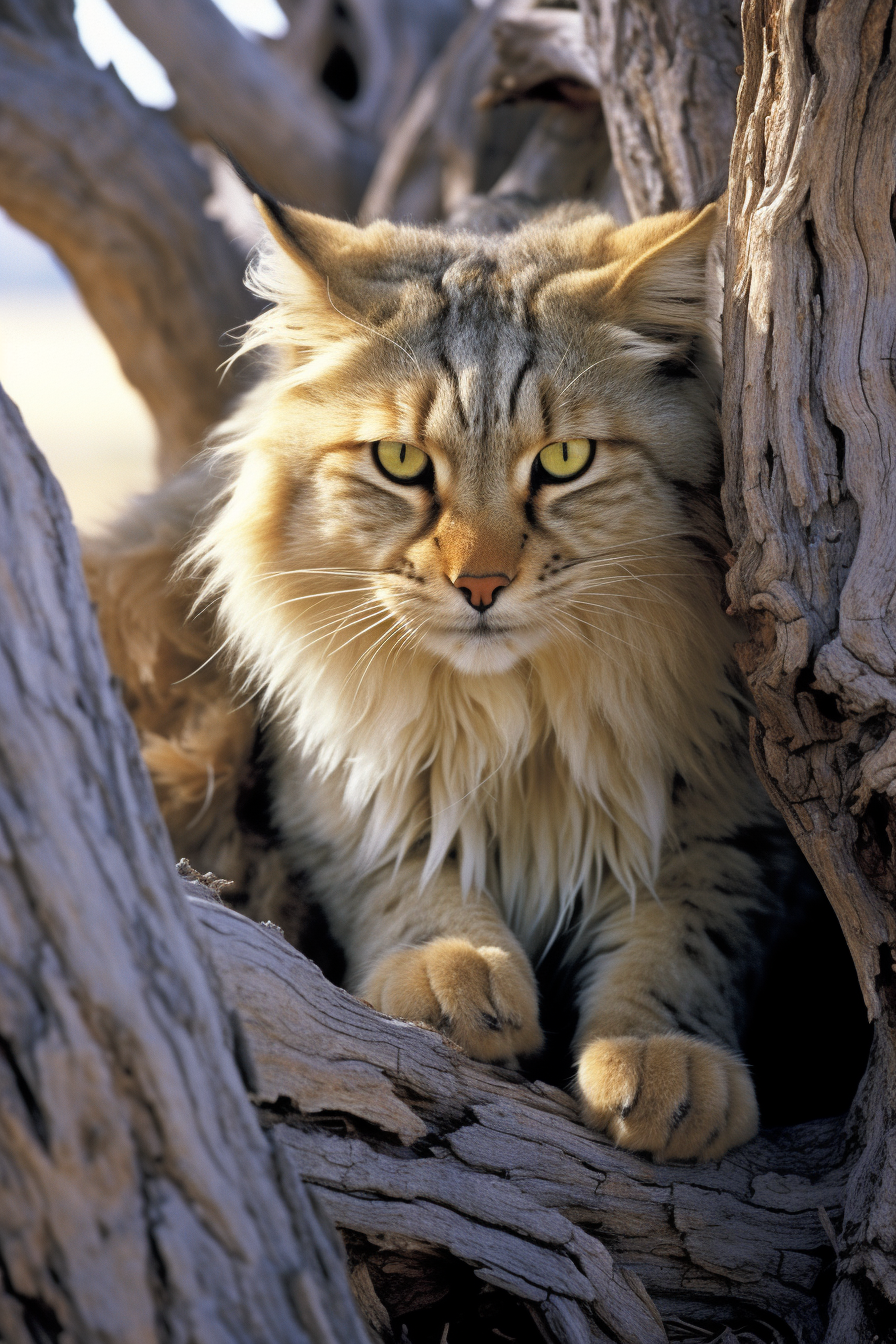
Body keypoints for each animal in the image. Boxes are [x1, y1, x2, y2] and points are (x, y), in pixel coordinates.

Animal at [85, 192, 800, 1166]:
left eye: (565, 461)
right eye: (401, 463)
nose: (481, 585)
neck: (516, 721)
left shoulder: (723, 818)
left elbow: (681, 941)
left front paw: (664, 1060)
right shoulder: (340, 784)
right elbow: (410, 881)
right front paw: (453, 970)